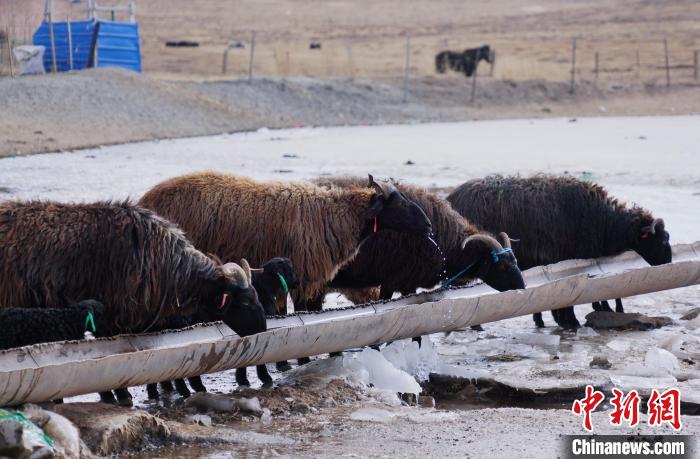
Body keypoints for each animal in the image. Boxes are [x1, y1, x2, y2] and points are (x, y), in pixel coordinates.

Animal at [448, 176, 672, 330]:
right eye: (661, 240)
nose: (668, 262)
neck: (605, 221)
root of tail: (453, 197)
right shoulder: (561, 258)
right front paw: (568, 321)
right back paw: (476, 325)